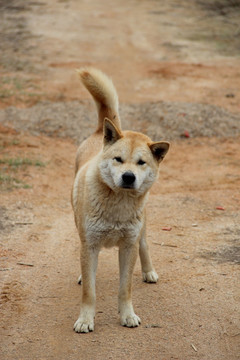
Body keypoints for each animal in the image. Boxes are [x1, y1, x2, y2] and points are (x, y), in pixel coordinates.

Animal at [71, 67, 169, 332]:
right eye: (118, 159)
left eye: (141, 163)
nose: (128, 176)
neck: (117, 206)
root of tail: (100, 132)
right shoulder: (90, 245)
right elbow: (90, 292)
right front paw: (85, 320)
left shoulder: (128, 246)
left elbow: (125, 289)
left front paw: (127, 316)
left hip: (141, 229)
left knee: (145, 245)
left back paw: (149, 272)